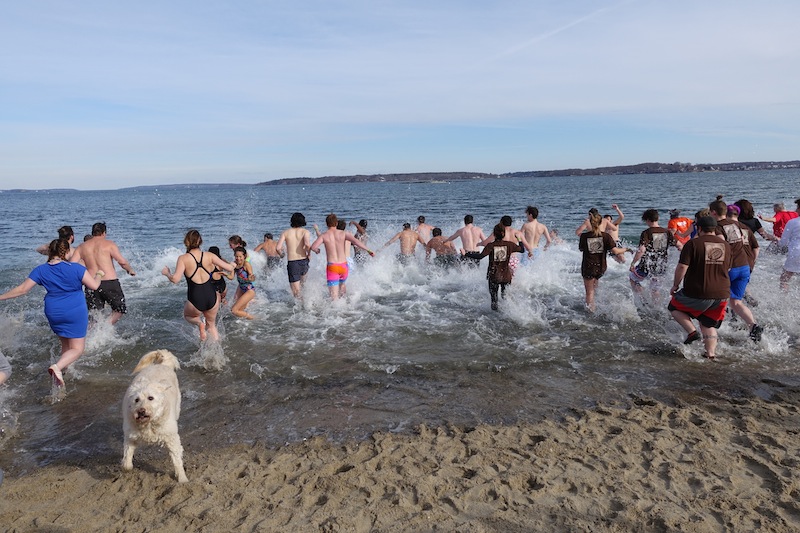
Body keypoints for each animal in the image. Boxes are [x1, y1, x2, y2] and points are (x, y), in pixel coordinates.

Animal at [122, 350, 189, 482]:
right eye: (136, 400)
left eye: (150, 398)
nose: (141, 411)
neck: (148, 424)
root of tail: (162, 364)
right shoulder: (130, 437)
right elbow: (126, 460)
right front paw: (127, 466)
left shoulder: (171, 438)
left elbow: (177, 460)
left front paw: (183, 479)